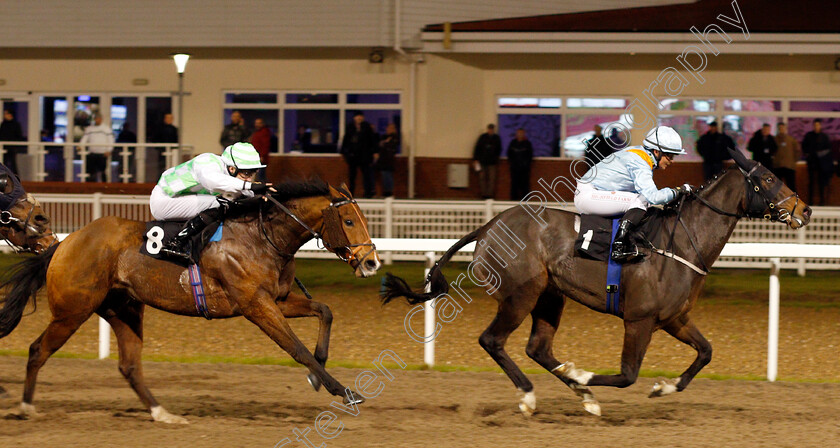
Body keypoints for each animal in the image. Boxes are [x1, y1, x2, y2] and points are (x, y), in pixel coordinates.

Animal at [0, 179, 380, 424]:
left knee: (129, 366)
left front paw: (319, 374)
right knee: (38, 350)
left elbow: (325, 311)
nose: (371, 262)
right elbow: (296, 349)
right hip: (73, 310)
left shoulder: (277, 298)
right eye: (348, 220)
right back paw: (25, 408)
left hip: (123, 309)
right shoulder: (256, 305)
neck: (262, 237)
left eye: (363, 219)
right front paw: (342, 390)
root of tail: (63, 244)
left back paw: (163, 414)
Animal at [384, 150, 812, 416]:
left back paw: (583, 395)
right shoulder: (639, 320)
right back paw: (532, 396)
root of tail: (489, 226)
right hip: (521, 295)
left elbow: (706, 352)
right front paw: (588, 376)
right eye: (769, 178)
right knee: (493, 341)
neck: (681, 242)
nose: (804, 210)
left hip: (550, 297)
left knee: (538, 348)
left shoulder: (674, 319)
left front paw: (662, 388)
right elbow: (627, 375)